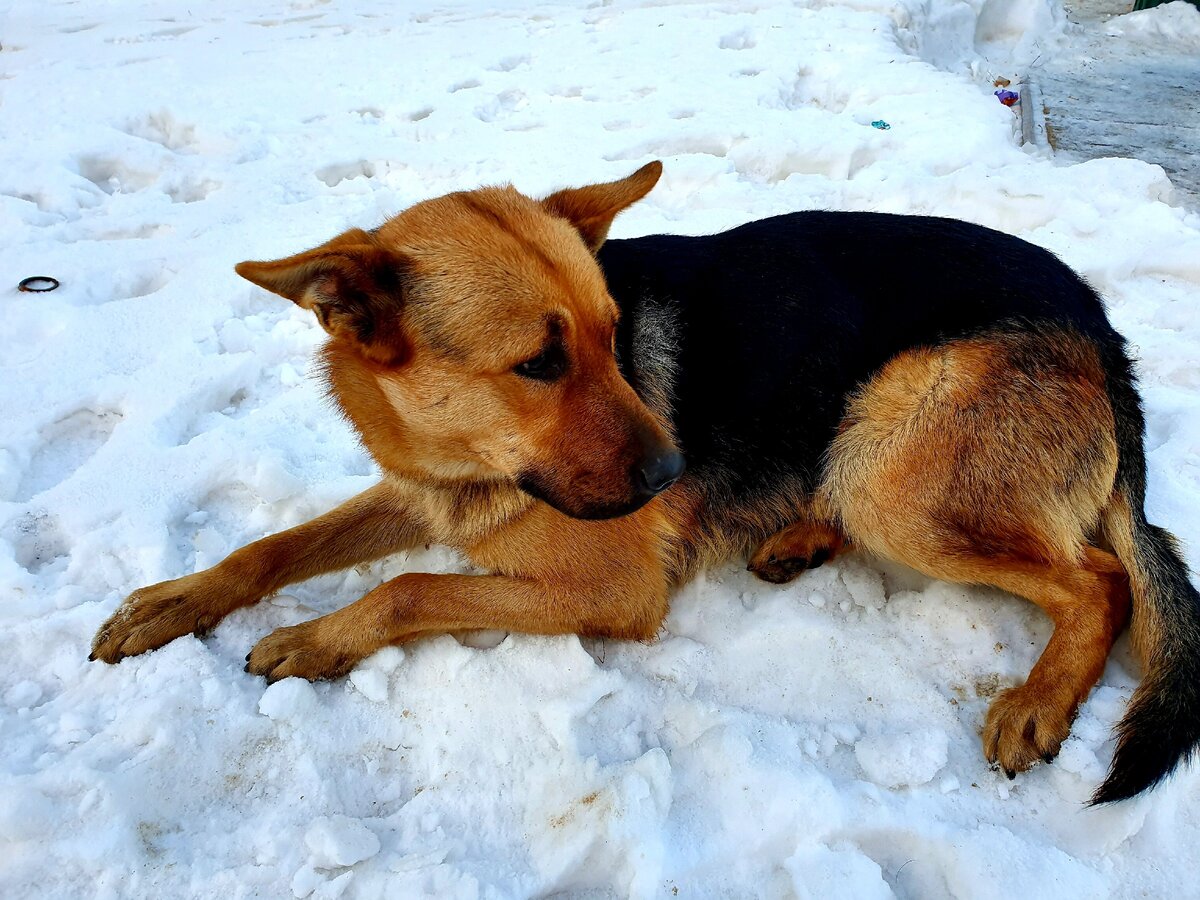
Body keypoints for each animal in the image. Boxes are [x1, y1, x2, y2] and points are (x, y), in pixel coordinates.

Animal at [91, 160, 1200, 801]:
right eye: (539, 363)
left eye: (613, 336)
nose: (674, 472)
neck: (469, 461)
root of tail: (1100, 325)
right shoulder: (421, 494)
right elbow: (271, 545)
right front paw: (171, 604)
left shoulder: (612, 589)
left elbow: (409, 586)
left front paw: (314, 639)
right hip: (871, 452)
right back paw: (798, 534)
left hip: (895, 461)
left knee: (1100, 581)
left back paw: (1039, 701)